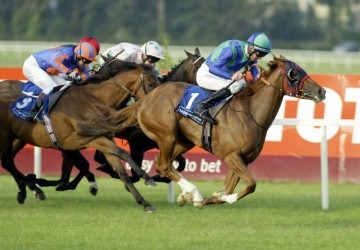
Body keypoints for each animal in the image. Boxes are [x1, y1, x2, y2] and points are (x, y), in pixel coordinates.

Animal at [0, 59, 159, 212]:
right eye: (151, 83)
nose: (156, 105)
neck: (94, 100)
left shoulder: (106, 139)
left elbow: (122, 170)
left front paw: (145, 202)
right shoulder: (86, 139)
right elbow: (122, 153)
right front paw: (147, 178)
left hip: (16, 138)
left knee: (8, 162)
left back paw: (27, 190)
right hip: (7, 138)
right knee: (7, 162)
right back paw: (33, 187)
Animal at [80, 55, 328, 208]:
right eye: (294, 74)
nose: (322, 91)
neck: (250, 113)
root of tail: (146, 98)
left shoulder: (242, 160)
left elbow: (229, 190)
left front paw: (210, 198)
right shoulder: (231, 156)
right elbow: (251, 185)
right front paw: (211, 198)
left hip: (183, 141)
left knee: (168, 166)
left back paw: (188, 193)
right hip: (166, 135)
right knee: (162, 165)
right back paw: (193, 191)